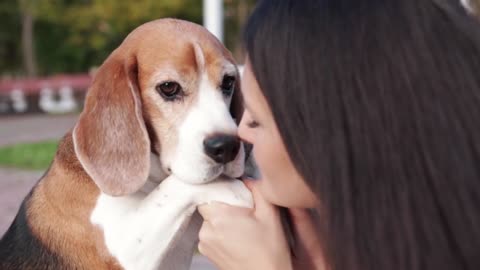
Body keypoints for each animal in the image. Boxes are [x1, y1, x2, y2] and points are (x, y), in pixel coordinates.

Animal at [0, 17, 253, 268]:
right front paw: (238, 192)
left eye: (228, 82)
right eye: (169, 87)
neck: (150, 180)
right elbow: (177, 186)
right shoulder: (125, 246)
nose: (227, 147)